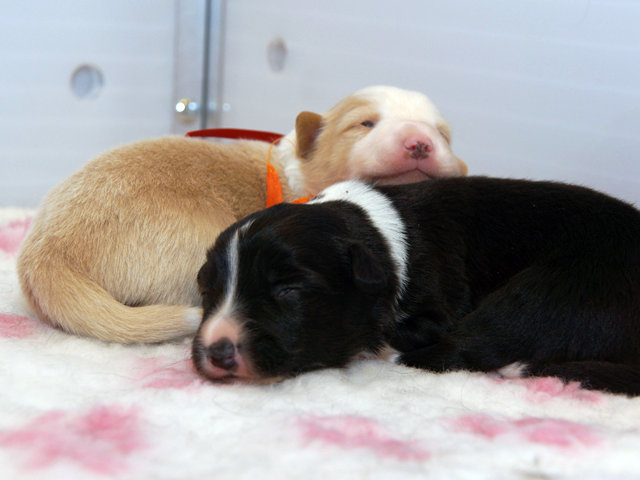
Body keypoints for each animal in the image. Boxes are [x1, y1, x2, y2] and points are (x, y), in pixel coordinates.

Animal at [193, 177, 640, 395]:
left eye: (288, 291)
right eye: (208, 290)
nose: (217, 351)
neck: (375, 235)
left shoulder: (438, 306)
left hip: (546, 293)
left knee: (470, 348)